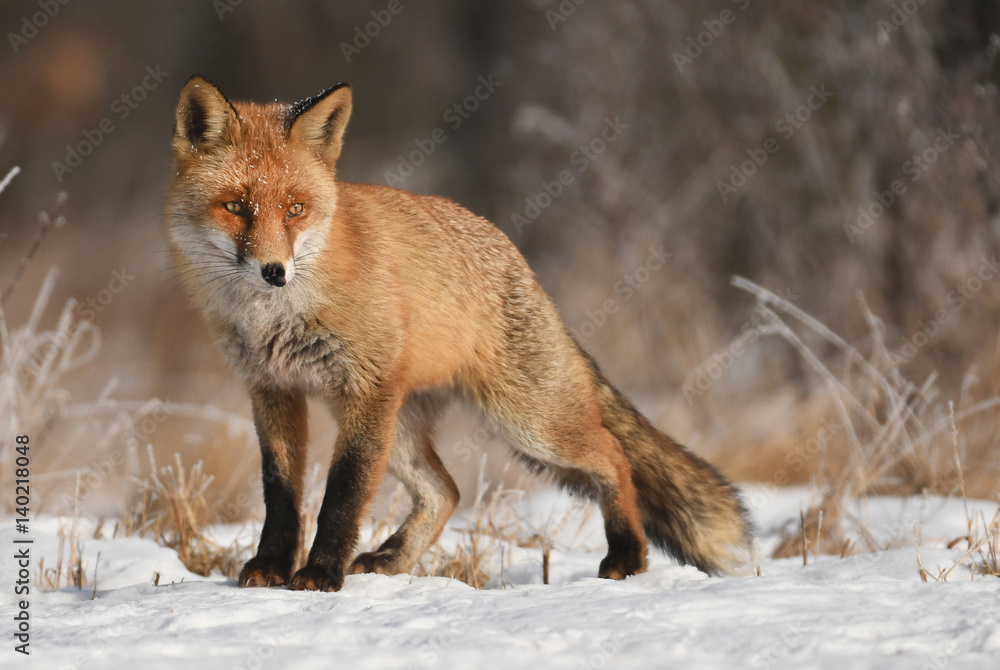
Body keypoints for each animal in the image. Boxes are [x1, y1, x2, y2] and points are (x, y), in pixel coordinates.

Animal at [164, 75, 752, 592]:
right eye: (236, 206)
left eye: (294, 209)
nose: (274, 271)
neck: (278, 315)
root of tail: (519, 260)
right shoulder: (273, 389)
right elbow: (281, 492)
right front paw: (271, 567)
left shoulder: (364, 390)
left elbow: (343, 496)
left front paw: (321, 574)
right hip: (403, 429)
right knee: (446, 491)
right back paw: (392, 559)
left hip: (525, 423)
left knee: (614, 456)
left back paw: (627, 555)